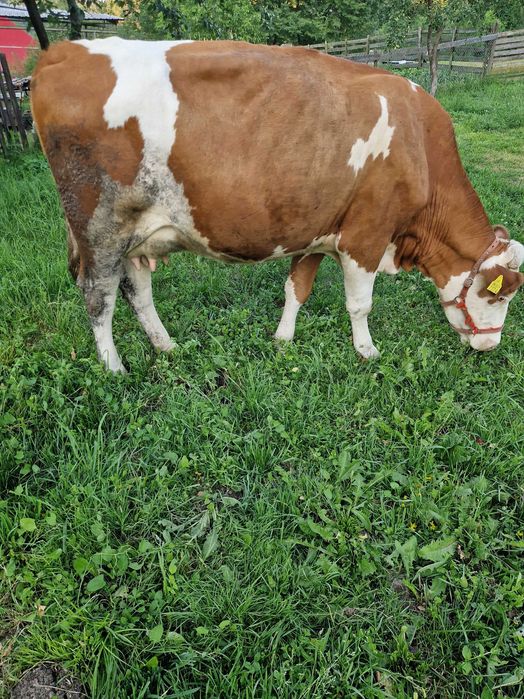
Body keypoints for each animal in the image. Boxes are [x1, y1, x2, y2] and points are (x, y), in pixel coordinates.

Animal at [31, 38, 523, 372]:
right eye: (496, 294)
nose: (490, 346)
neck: (420, 144)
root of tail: (62, 51)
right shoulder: (366, 235)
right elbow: (360, 304)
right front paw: (366, 350)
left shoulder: (317, 232)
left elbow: (296, 289)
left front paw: (283, 339)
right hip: (99, 227)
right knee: (98, 295)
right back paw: (113, 367)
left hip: (137, 233)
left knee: (138, 290)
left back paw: (165, 345)